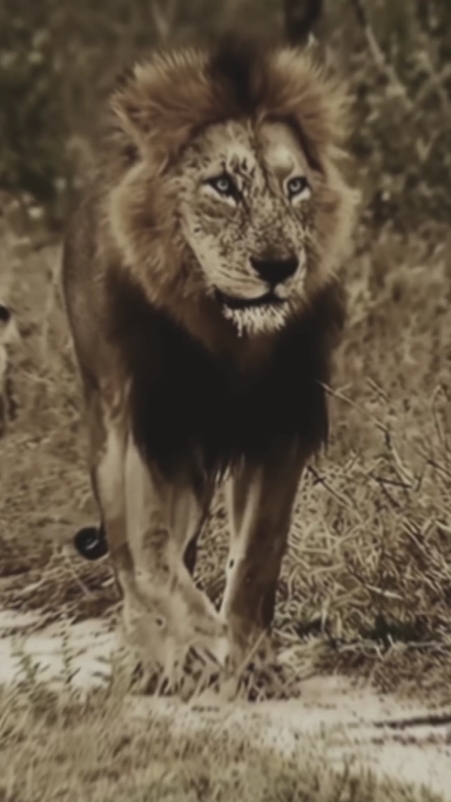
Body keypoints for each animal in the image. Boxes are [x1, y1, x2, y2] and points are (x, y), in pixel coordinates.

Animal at [62, 38, 357, 693]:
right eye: (222, 185)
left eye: (296, 187)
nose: (279, 266)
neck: (231, 341)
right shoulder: (155, 428)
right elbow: (152, 556)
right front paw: (197, 638)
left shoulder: (281, 431)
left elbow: (257, 561)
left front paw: (252, 663)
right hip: (107, 429)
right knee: (128, 559)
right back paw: (151, 661)